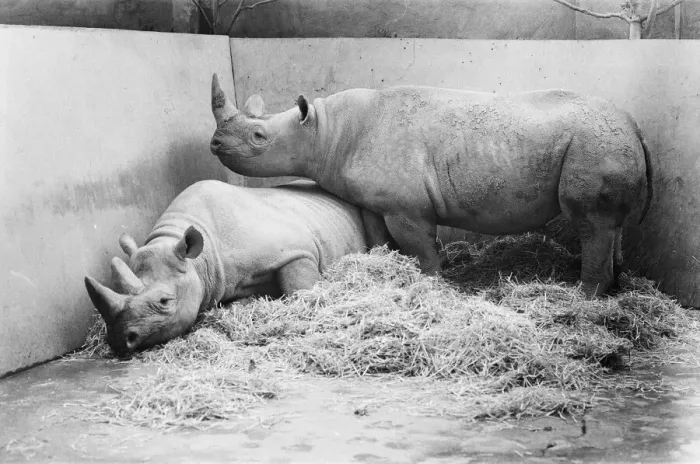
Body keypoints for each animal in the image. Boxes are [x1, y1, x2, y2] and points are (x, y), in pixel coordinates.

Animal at [209, 74, 653, 298]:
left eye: (259, 138)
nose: (214, 144)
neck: (323, 132)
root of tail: (634, 125)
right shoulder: (376, 201)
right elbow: (381, 238)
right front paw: (391, 270)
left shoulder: (406, 206)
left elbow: (420, 247)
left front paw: (432, 284)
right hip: (605, 143)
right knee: (609, 225)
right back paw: (612, 287)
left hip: (594, 144)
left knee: (590, 222)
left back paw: (583, 298)